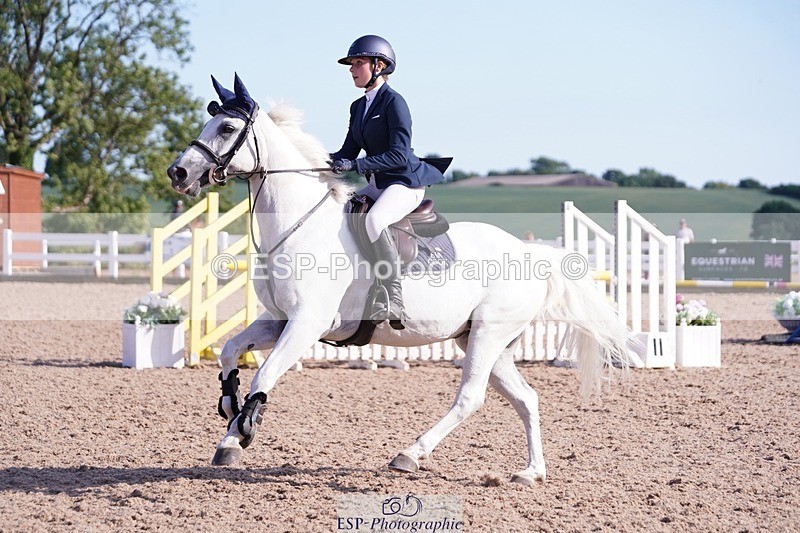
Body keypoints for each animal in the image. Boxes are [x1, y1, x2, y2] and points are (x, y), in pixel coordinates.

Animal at [167, 74, 632, 485]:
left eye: (227, 128)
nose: (178, 174)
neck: (299, 225)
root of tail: (529, 253)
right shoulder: (280, 320)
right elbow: (231, 350)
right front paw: (230, 415)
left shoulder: (307, 324)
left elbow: (265, 376)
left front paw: (242, 432)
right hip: (481, 339)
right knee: (526, 398)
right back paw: (531, 472)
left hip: (489, 333)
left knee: (471, 397)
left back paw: (410, 454)